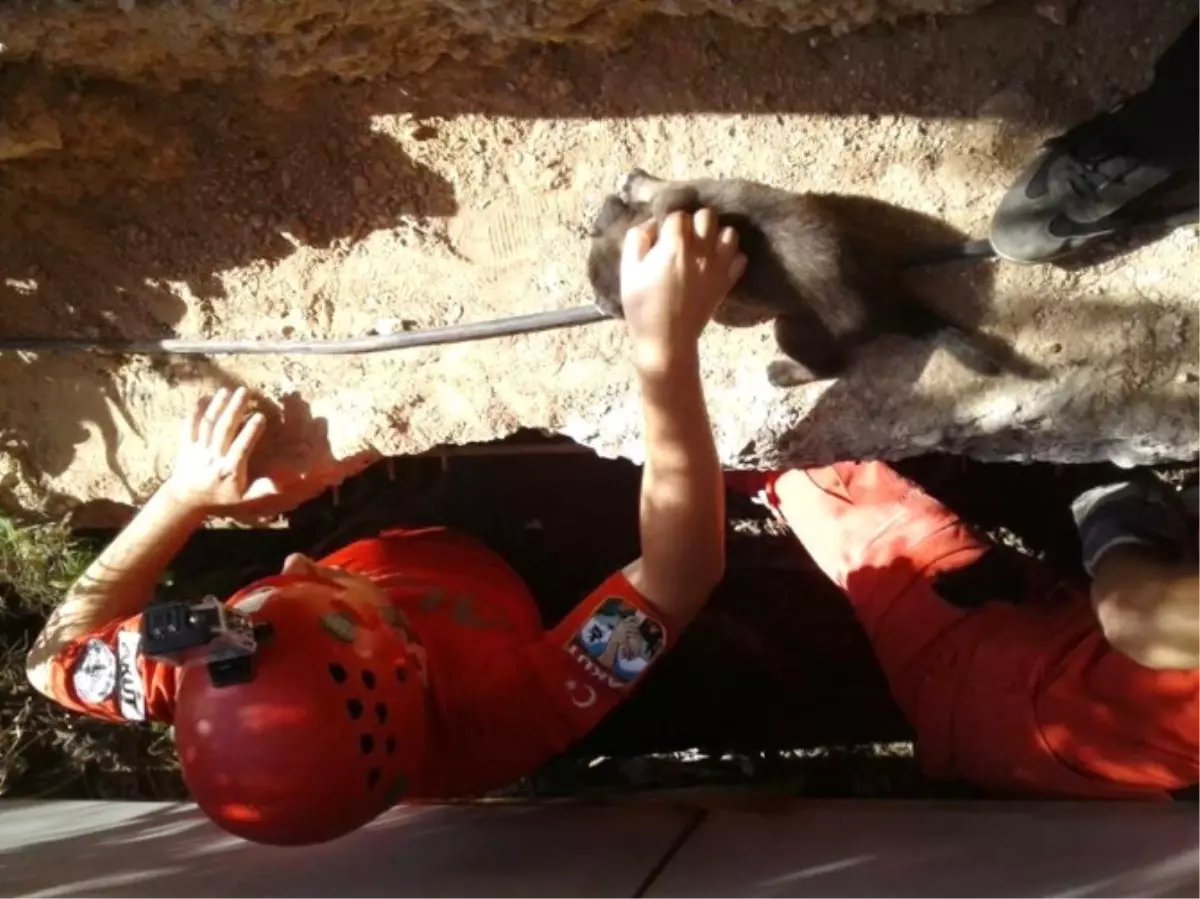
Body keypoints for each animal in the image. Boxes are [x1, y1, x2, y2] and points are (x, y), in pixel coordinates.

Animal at [585, 170, 1017, 386]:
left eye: (614, 300)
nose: (601, 307)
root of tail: (894, 304)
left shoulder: (680, 202)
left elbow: (667, 197)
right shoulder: (688, 190)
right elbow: (666, 190)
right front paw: (634, 185)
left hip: (792, 330)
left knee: (832, 368)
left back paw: (784, 373)